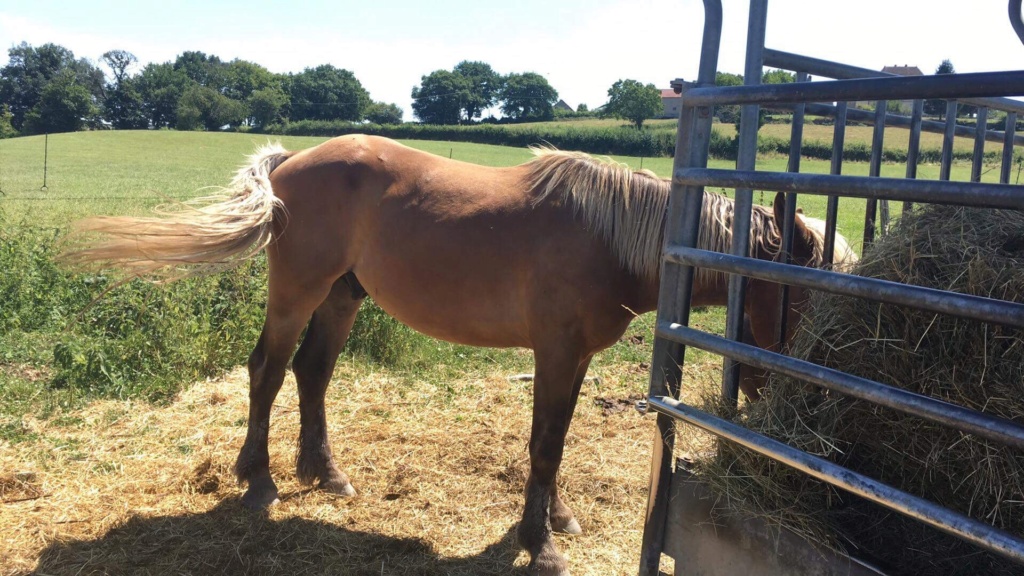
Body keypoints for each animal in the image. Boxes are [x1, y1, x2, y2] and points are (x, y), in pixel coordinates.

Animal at [59, 135, 851, 573]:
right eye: (809, 299)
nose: (805, 399)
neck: (612, 235)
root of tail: (292, 161)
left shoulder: (575, 358)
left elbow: (557, 441)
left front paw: (557, 519)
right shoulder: (556, 351)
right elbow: (544, 443)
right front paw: (541, 543)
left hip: (343, 297)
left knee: (312, 375)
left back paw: (326, 474)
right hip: (297, 293)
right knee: (268, 372)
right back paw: (259, 480)